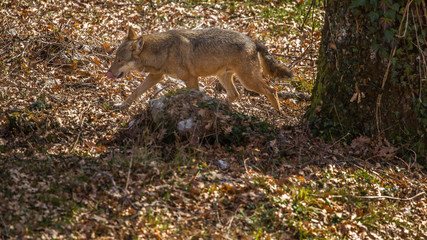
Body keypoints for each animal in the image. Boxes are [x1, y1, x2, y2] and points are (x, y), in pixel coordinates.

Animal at [107, 27, 294, 112]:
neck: (163, 51)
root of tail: (253, 41)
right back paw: (219, 104)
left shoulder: (190, 79)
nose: (109, 72)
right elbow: (135, 92)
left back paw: (278, 112)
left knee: (272, 90)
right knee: (235, 95)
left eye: (119, 60)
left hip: (248, 81)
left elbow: (194, 94)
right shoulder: (156, 76)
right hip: (224, 77)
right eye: (115, 58)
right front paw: (121, 106)